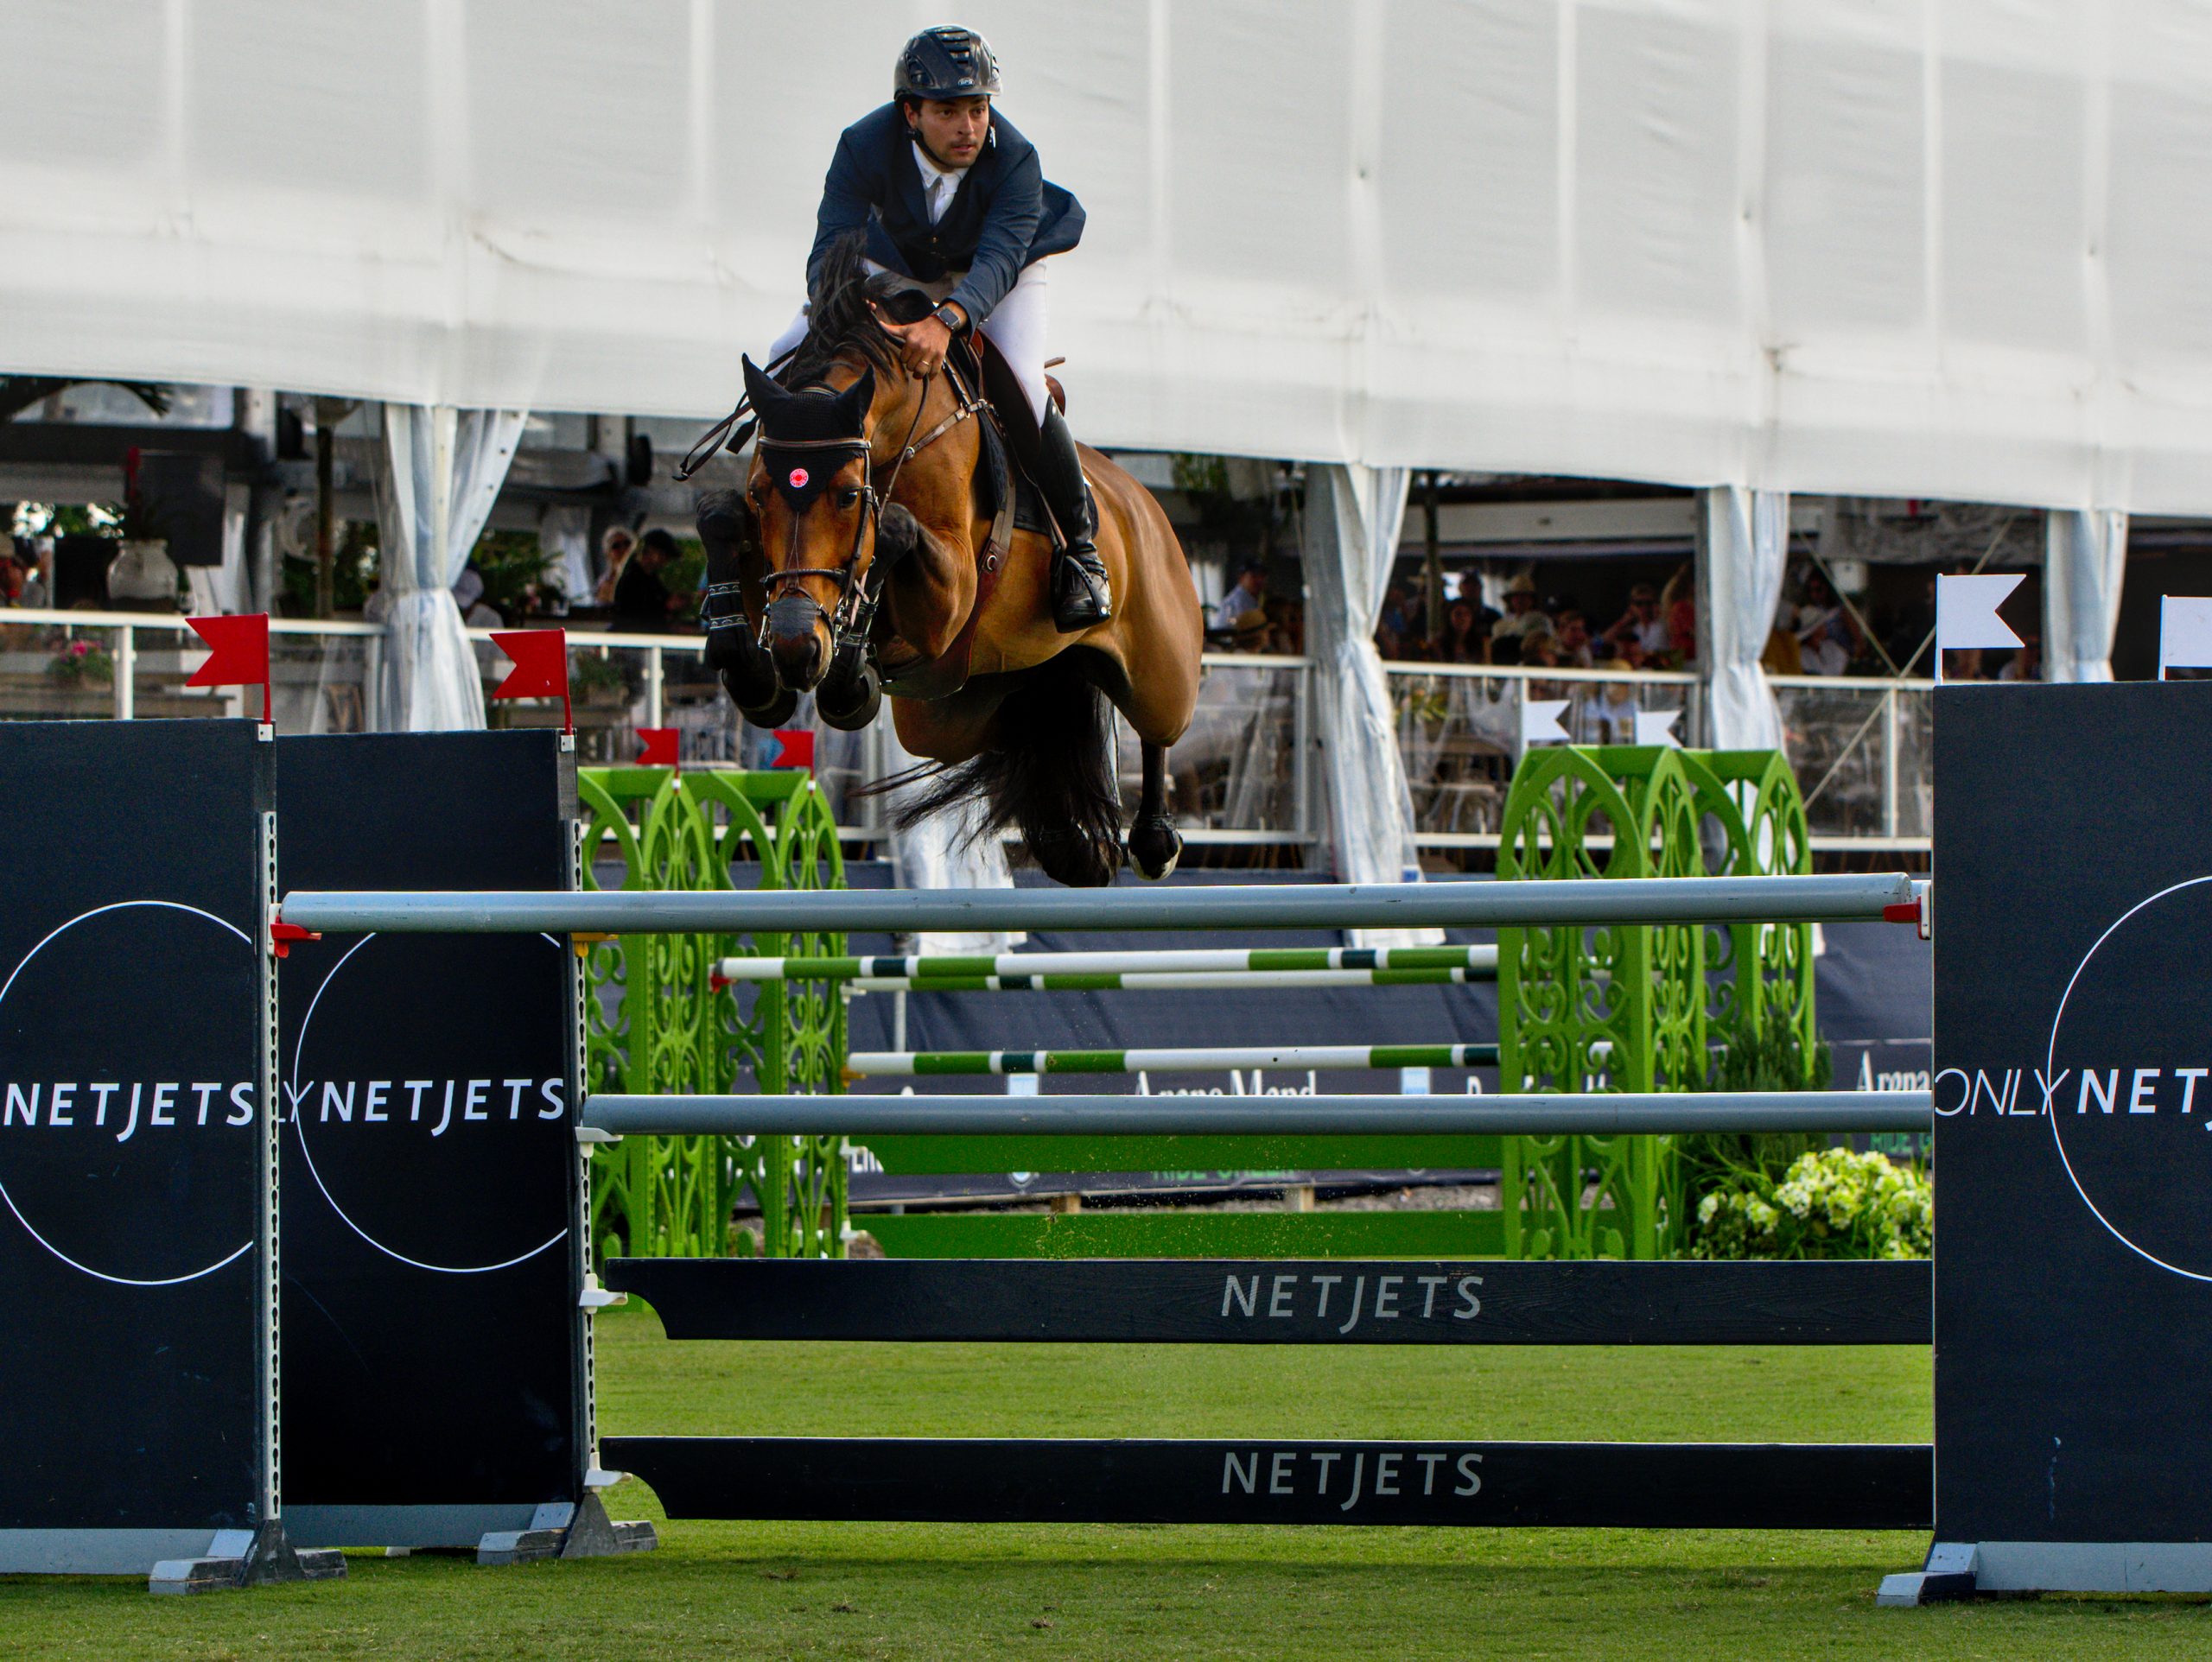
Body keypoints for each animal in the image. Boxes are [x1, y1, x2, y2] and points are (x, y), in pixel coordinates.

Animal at [698, 234, 1203, 888]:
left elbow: (895, 528)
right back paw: (1068, 841)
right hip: (951, 709)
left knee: (1160, 725)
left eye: (848, 495)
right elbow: (717, 516)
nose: (794, 647)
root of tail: (1141, 499)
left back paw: (1154, 838)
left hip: (1159, 666)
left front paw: (847, 674)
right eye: (761, 492)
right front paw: (755, 672)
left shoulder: (952, 594)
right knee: (1026, 728)